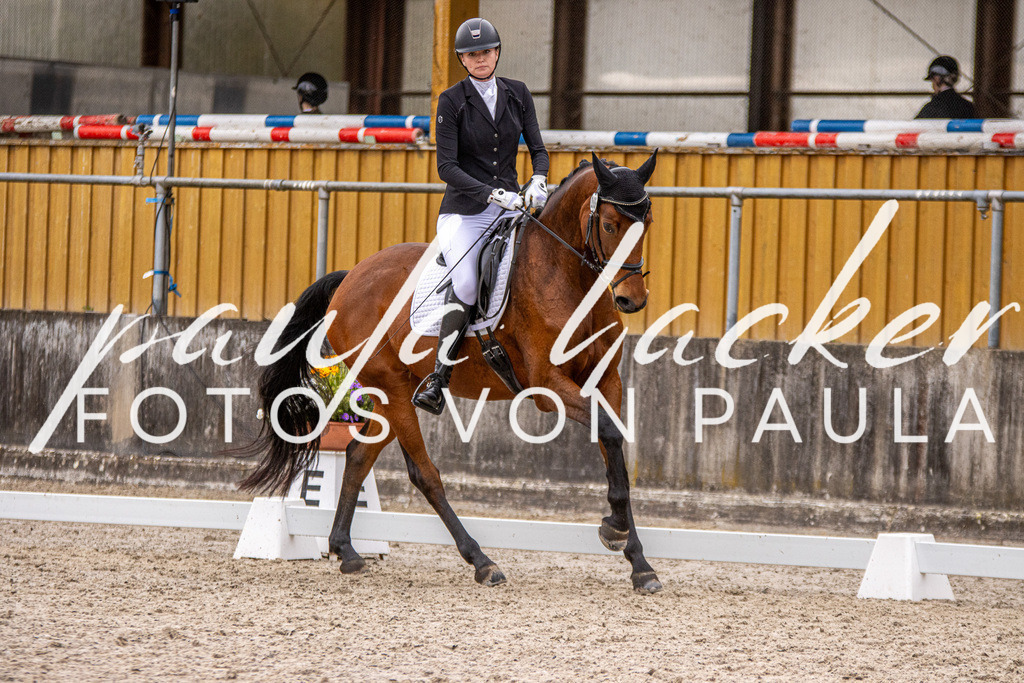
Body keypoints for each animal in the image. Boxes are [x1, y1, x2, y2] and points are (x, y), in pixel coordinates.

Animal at [239, 151, 663, 594]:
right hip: (393, 390)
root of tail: (349, 278)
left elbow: (613, 446)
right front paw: (616, 530)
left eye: (647, 222)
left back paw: (347, 552)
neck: (566, 276)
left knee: (357, 456)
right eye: (610, 225)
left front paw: (638, 560)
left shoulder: (607, 382)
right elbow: (609, 434)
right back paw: (481, 561)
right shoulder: (547, 387)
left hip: (388, 394)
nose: (631, 300)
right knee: (424, 474)